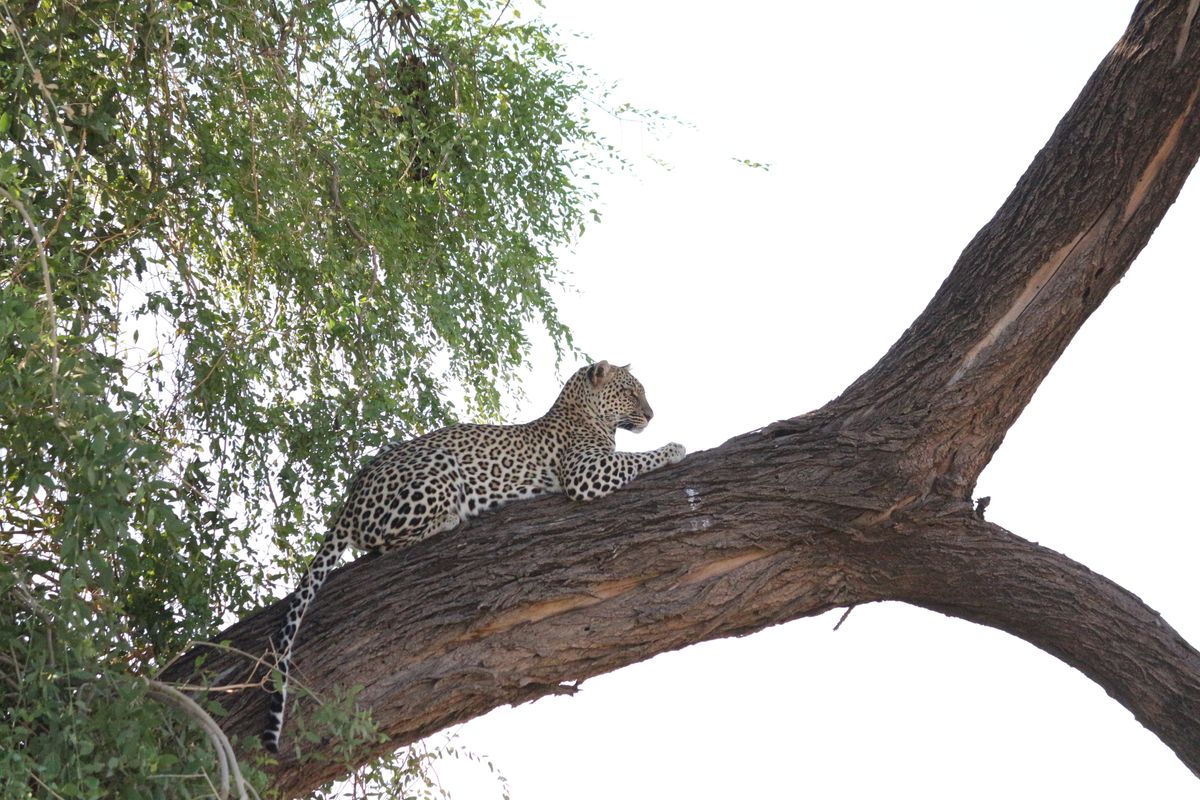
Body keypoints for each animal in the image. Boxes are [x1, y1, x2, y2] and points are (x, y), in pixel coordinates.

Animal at [263, 360, 686, 751]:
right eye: (631, 392)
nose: (651, 415)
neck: (584, 413)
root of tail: (348, 503)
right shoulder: (586, 473)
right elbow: (634, 458)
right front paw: (674, 448)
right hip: (437, 464)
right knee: (384, 541)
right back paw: (453, 516)